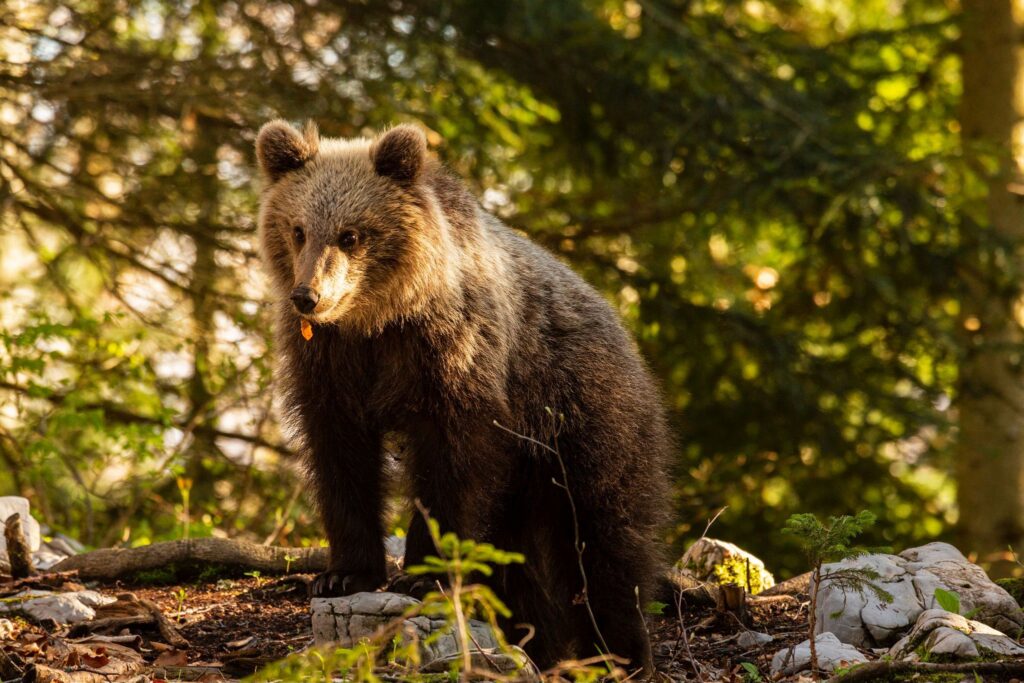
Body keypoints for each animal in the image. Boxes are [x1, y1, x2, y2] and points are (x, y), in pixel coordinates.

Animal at [256, 120, 671, 671]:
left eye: (351, 234)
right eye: (298, 229)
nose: (308, 296)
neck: (377, 321)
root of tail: (626, 335)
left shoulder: (451, 358)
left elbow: (452, 466)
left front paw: (424, 573)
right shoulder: (331, 366)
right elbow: (342, 459)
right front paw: (342, 573)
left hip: (583, 417)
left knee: (604, 535)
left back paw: (617, 651)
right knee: (523, 559)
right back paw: (535, 639)